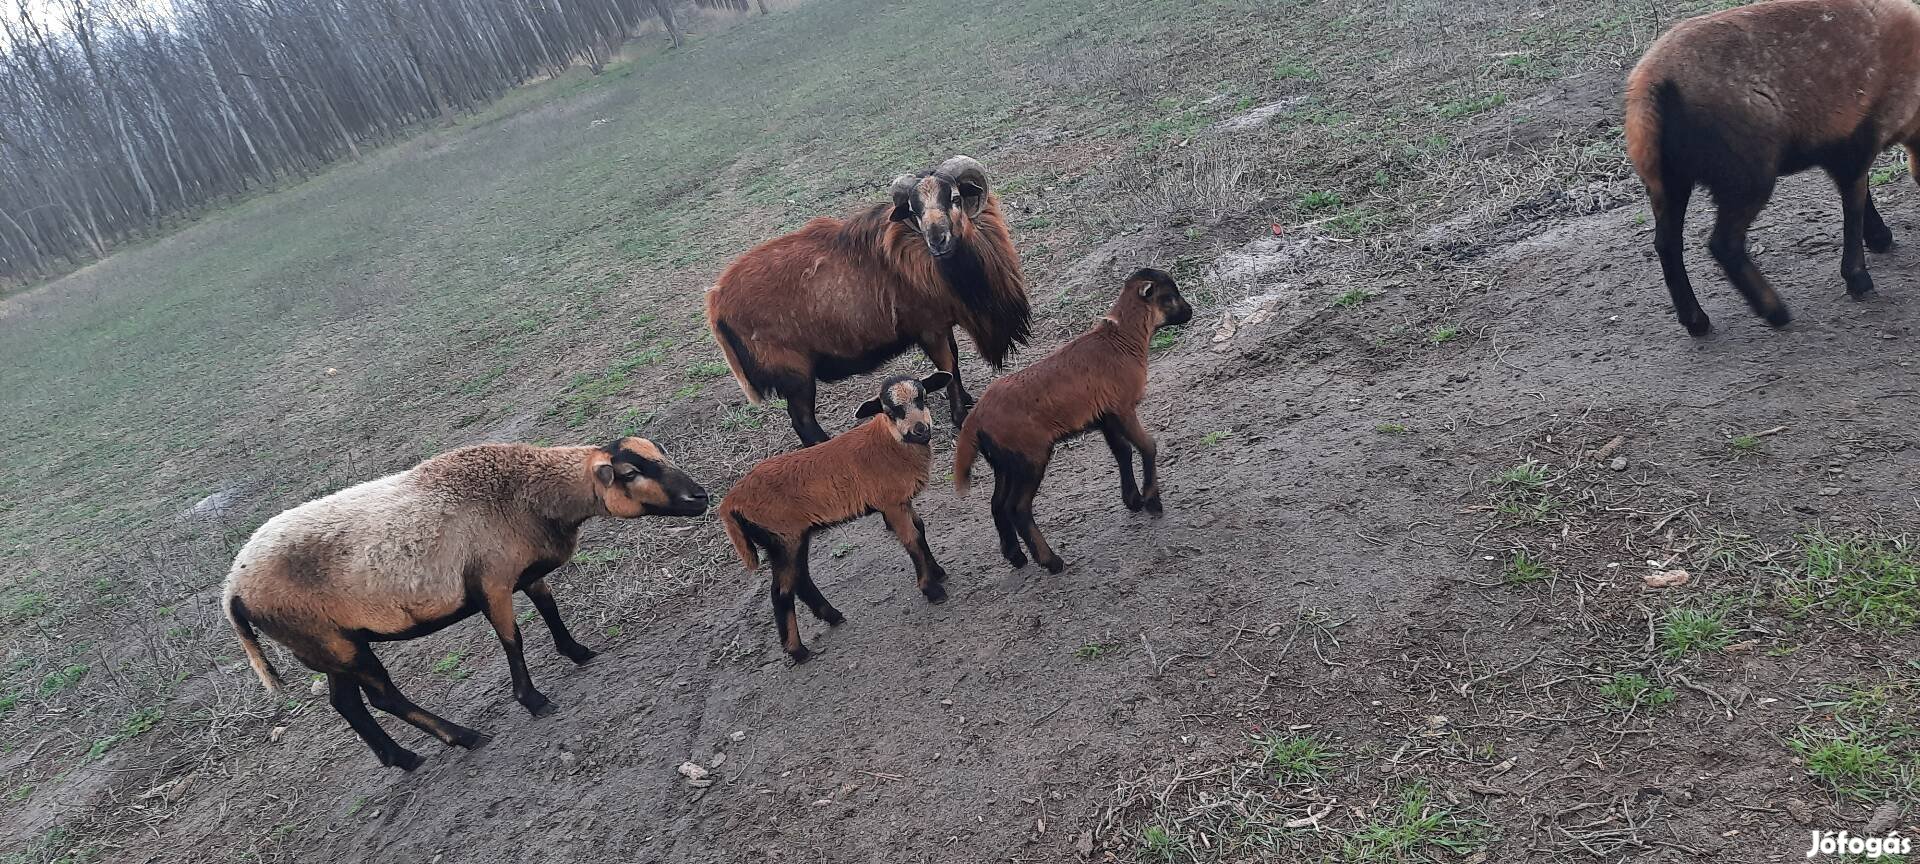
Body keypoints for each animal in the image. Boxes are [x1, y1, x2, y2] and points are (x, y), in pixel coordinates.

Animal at [222, 439, 706, 768]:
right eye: (630, 472)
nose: (700, 497)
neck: (524, 495)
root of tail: (233, 589)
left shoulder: (523, 571)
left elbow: (549, 608)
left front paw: (579, 652)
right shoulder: (491, 582)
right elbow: (513, 640)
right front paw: (533, 700)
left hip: (328, 646)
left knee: (348, 705)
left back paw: (403, 759)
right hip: (332, 642)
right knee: (382, 698)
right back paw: (464, 737)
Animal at [710, 156, 1036, 449]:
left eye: (954, 198)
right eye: (915, 209)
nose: (937, 240)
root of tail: (715, 302)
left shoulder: (941, 324)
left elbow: (953, 363)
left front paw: (965, 400)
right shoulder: (929, 329)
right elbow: (947, 367)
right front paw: (960, 415)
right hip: (796, 375)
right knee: (802, 421)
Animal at [721, 370, 952, 660]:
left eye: (923, 398)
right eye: (890, 411)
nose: (920, 430)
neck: (891, 443)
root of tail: (730, 501)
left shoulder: (902, 501)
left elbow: (920, 530)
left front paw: (938, 572)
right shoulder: (890, 504)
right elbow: (911, 539)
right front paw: (932, 589)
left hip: (791, 537)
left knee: (800, 579)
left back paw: (831, 616)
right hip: (783, 538)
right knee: (782, 591)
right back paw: (798, 651)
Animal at [952, 272, 1190, 572]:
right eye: (1170, 295)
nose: (1189, 312)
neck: (1123, 341)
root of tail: (976, 417)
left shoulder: (1105, 415)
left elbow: (1122, 452)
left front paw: (1133, 500)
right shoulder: (1122, 408)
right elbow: (1148, 446)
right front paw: (1152, 501)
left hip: (1004, 460)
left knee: (997, 504)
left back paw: (1016, 556)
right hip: (1030, 456)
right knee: (1017, 508)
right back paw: (1051, 561)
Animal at [1628, 0, 1920, 336]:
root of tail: (1655, 83)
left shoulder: (1837, 146)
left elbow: (1861, 195)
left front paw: (1878, 238)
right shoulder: (1856, 139)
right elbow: (1854, 203)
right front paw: (1858, 276)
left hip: (1667, 181)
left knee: (1667, 244)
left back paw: (1696, 320)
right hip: (1747, 174)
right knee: (1723, 244)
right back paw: (1774, 311)